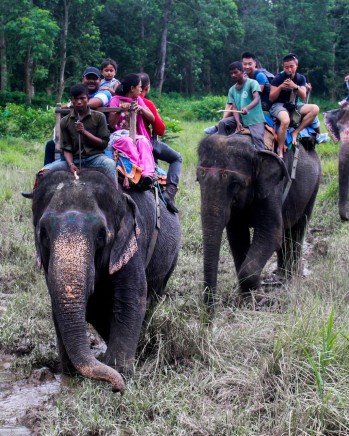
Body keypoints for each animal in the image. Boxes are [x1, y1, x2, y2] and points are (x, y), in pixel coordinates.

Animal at [31, 169, 181, 392]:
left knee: (152, 298)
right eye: (44, 234)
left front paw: (119, 370)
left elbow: (131, 300)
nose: (118, 388)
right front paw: (71, 374)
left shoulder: (132, 242)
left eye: (102, 235)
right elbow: (63, 305)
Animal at [197, 135, 320, 312]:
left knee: (298, 229)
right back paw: (280, 277)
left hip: (314, 187)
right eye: (198, 179)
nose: (210, 314)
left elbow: (271, 233)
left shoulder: (272, 189)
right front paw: (246, 297)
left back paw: (292, 279)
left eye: (235, 183)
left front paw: (259, 299)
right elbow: (236, 236)